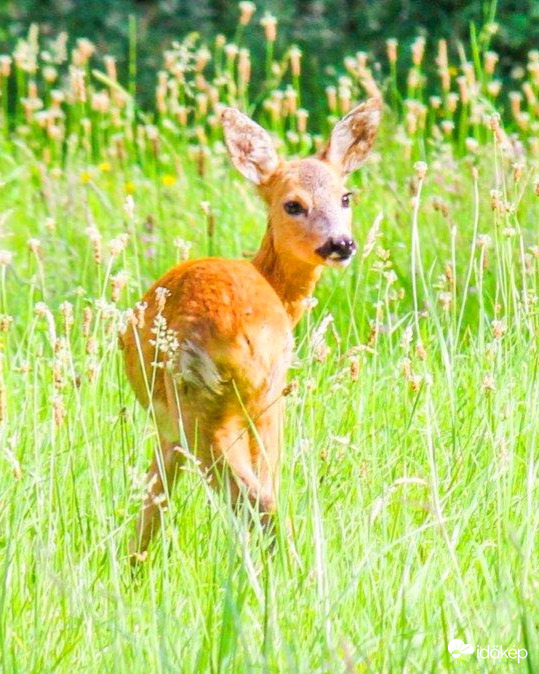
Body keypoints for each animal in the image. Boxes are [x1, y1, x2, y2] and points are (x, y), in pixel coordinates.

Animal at [122, 96, 382, 556]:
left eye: (345, 196)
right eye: (292, 204)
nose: (341, 243)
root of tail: (235, 335)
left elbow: (155, 494)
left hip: (207, 403)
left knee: (251, 496)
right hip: (248, 398)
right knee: (260, 493)